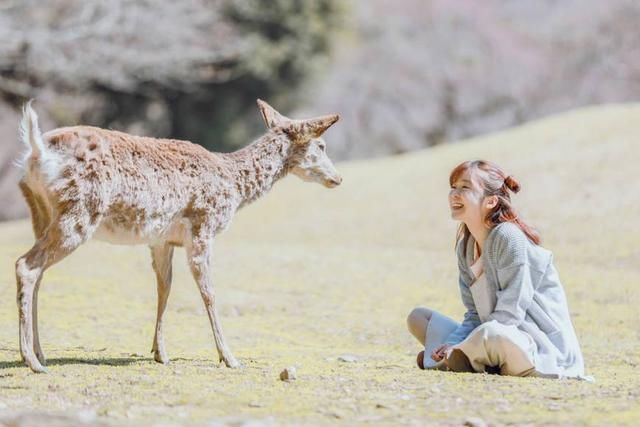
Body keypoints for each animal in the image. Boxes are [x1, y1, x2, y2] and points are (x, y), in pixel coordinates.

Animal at [13, 98, 340, 372]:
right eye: (322, 145)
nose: (337, 178)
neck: (234, 187)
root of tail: (36, 152)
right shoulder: (202, 227)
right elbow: (208, 292)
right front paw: (230, 358)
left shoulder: (161, 239)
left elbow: (164, 287)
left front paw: (160, 353)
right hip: (79, 212)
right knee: (26, 265)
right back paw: (32, 360)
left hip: (40, 213)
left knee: (37, 272)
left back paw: (38, 353)